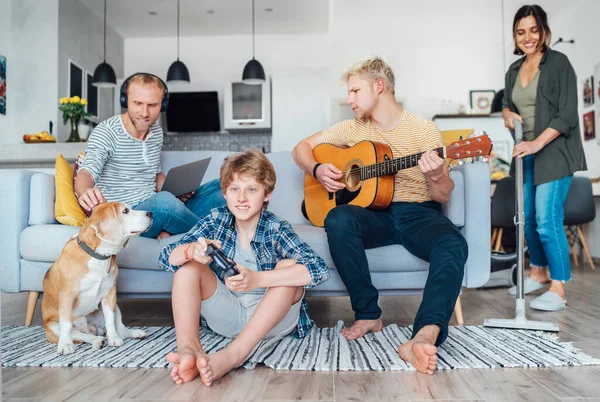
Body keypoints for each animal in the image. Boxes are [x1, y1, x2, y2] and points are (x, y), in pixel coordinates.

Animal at [42, 203, 152, 354]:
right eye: (125, 211)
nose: (151, 213)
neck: (98, 256)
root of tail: (92, 328)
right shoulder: (67, 297)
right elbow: (67, 325)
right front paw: (65, 344)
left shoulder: (110, 294)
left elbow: (110, 321)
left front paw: (114, 339)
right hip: (53, 326)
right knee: (79, 334)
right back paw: (96, 341)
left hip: (116, 306)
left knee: (120, 328)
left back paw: (132, 333)